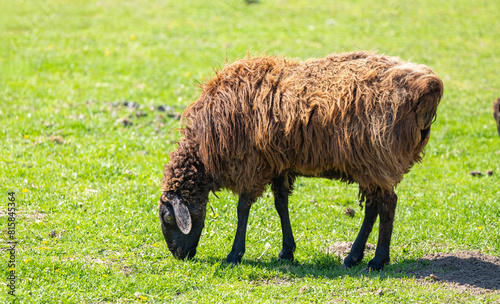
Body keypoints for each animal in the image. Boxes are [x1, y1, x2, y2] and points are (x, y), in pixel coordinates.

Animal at [158, 50, 444, 270]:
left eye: (168, 218)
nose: (179, 256)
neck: (202, 152)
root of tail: (429, 86)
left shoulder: (250, 164)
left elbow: (243, 208)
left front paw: (234, 254)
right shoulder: (277, 164)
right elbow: (281, 204)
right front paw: (286, 251)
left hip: (377, 158)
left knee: (387, 206)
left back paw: (377, 261)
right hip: (370, 165)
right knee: (375, 207)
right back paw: (353, 257)